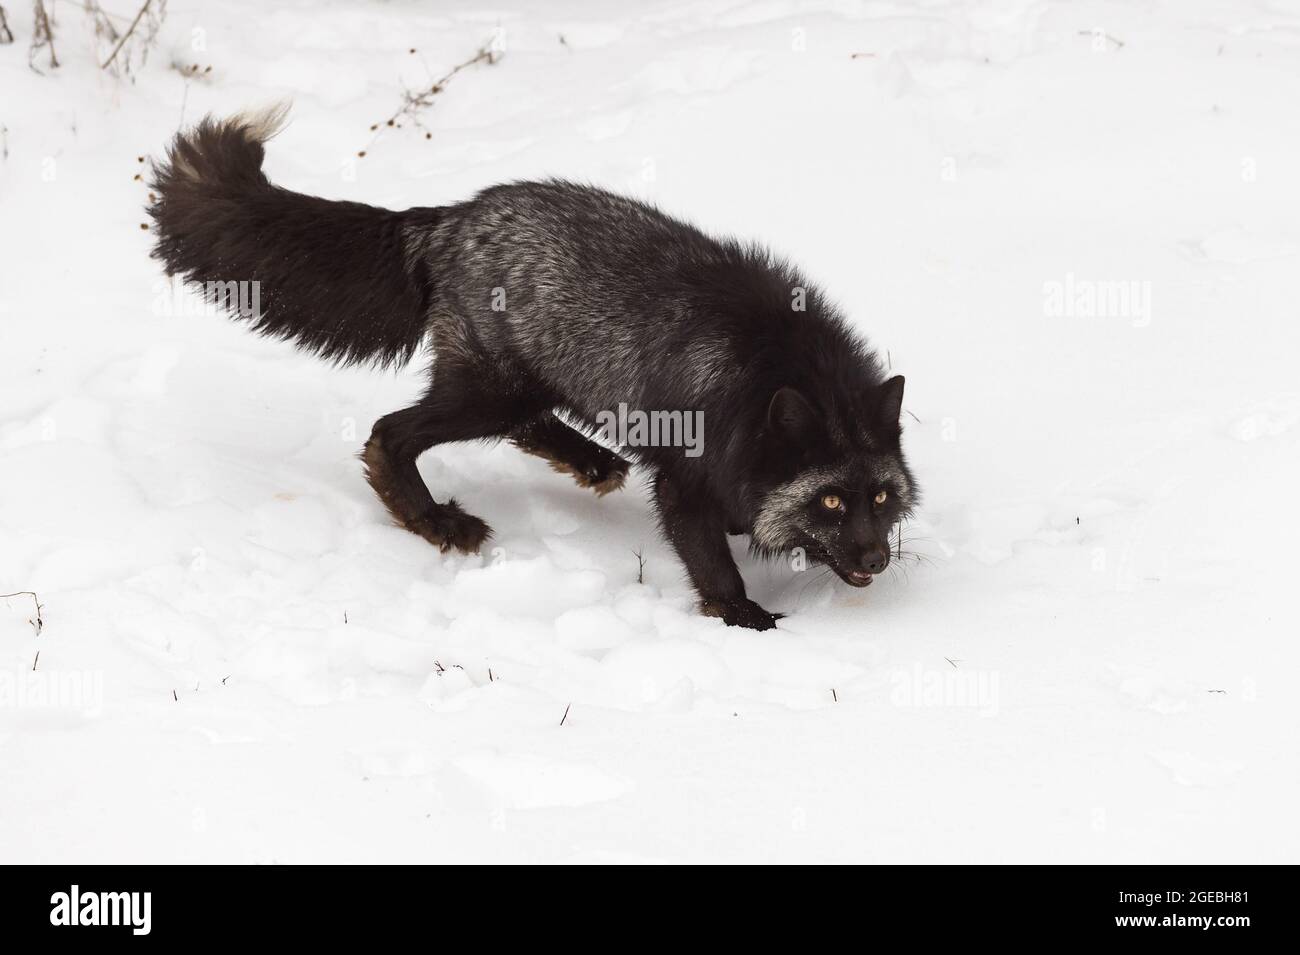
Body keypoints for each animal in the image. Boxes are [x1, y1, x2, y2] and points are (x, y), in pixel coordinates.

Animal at [147, 106, 920, 628]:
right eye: (829, 501)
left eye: (882, 497)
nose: (876, 561)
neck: (765, 369)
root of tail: (448, 218)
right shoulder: (683, 483)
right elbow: (714, 565)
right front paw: (747, 621)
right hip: (489, 391)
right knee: (388, 433)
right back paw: (434, 520)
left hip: (519, 383)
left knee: (523, 425)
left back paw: (591, 462)